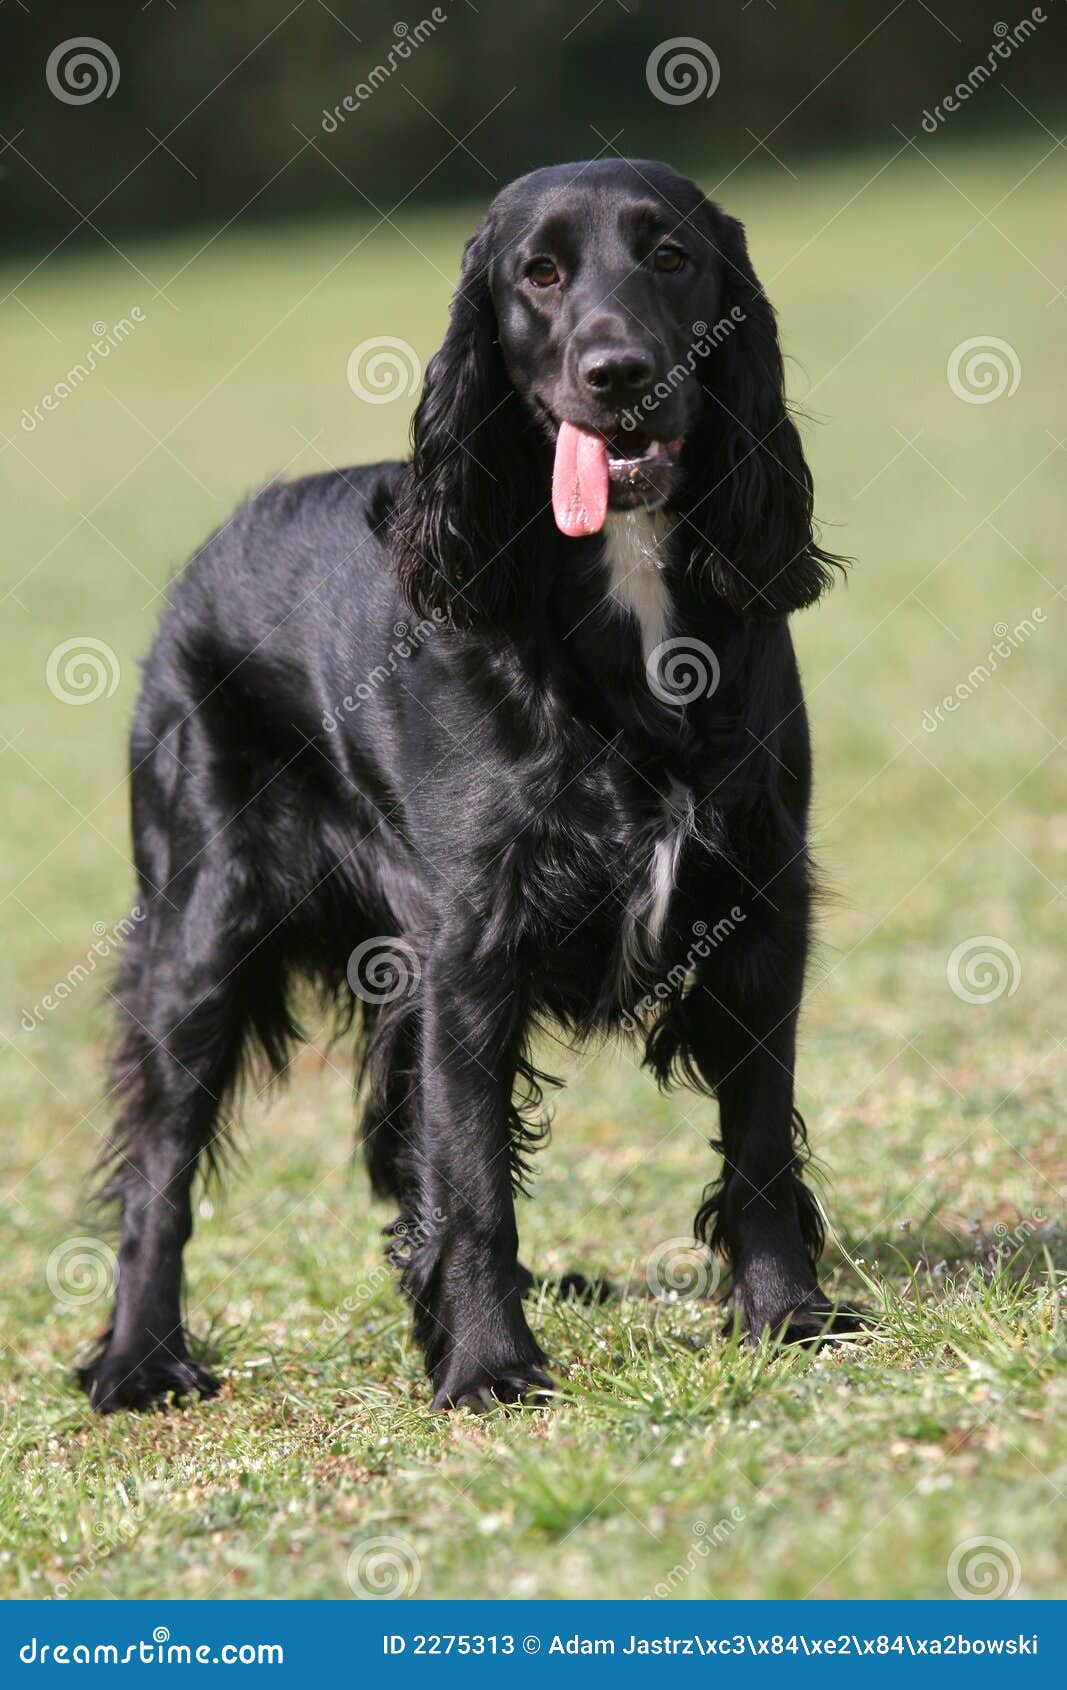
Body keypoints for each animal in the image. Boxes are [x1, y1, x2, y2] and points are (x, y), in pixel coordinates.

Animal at [79, 161, 855, 1412]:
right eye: (536, 274)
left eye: (670, 257)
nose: (616, 371)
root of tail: (216, 542)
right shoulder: (473, 949)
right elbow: (475, 1178)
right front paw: (490, 1364)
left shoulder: (754, 907)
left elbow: (755, 1142)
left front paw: (787, 1313)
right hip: (202, 930)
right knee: (161, 1160)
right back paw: (140, 1358)